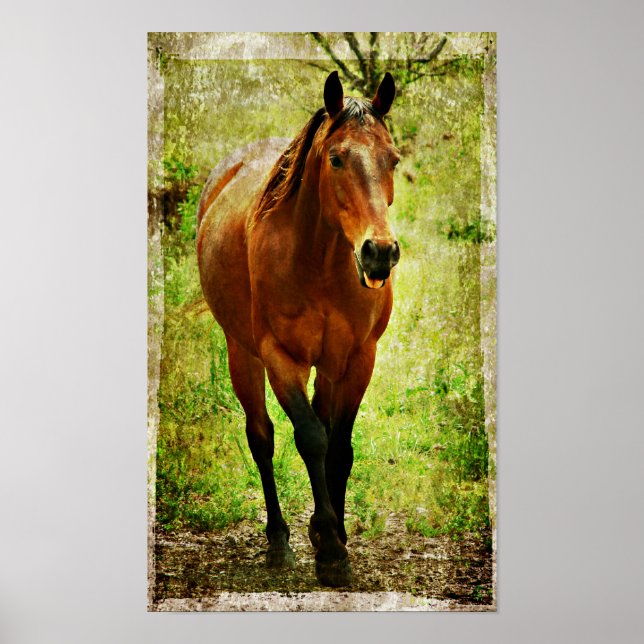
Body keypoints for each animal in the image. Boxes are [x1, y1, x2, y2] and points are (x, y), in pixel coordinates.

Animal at [196, 71, 400, 587]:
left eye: (392, 159)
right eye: (336, 158)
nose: (379, 253)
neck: (320, 261)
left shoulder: (357, 359)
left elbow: (339, 447)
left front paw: (335, 536)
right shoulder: (280, 358)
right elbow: (311, 438)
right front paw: (329, 550)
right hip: (242, 353)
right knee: (261, 437)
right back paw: (278, 541)